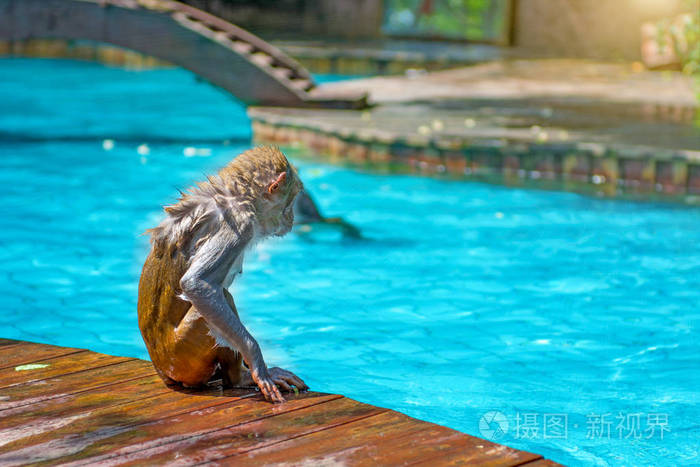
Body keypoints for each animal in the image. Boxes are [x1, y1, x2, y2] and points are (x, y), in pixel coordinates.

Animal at [138, 145, 308, 402]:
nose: (292, 219)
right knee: (220, 298)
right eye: (290, 203)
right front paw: (259, 366)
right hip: (183, 356)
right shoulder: (239, 225)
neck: (239, 197)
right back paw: (239, 378)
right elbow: (196, 284)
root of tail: (161, 369)